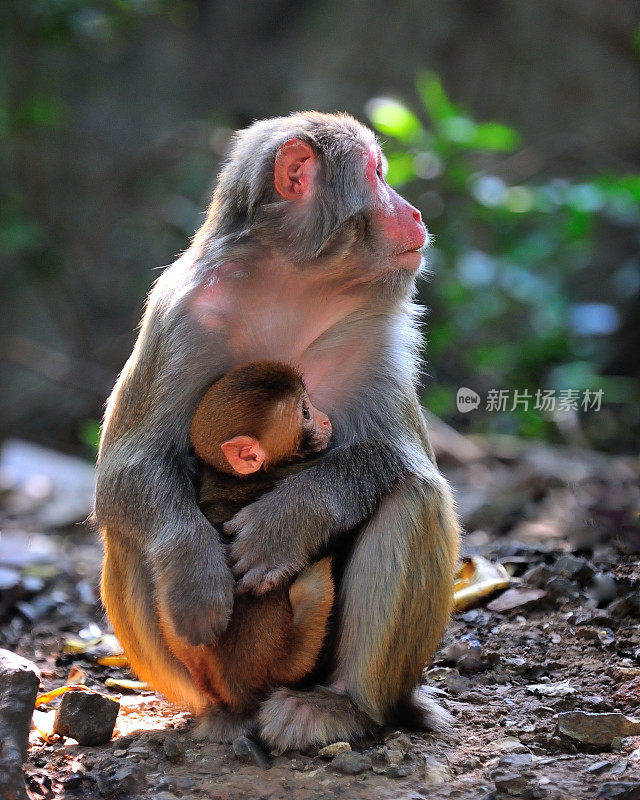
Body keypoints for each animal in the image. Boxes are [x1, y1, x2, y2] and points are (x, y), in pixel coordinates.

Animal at [96, 111, 460, 752]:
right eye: (378, 174)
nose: (416, 213)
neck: (293, 283)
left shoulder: (380, 327)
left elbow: (400, 457)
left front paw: (284, 526)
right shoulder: (178, 315)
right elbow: (125, 469)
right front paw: (193, 572)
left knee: (415, 498)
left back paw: (346, 708)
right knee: (129, 529)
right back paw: (225, 712)